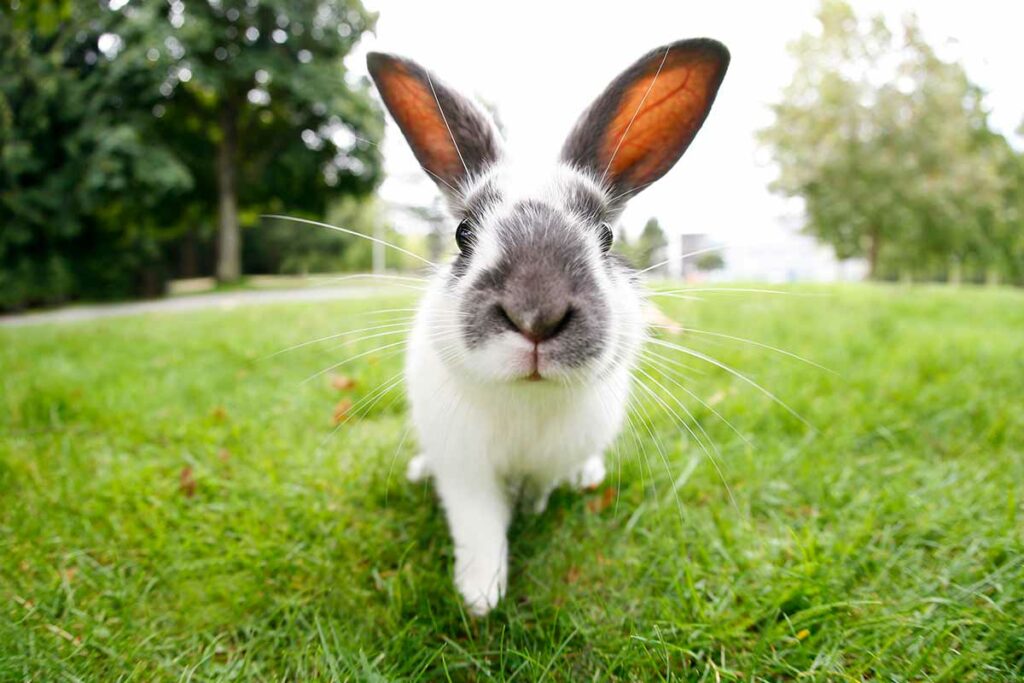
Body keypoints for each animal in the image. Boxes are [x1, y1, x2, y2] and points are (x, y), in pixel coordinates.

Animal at [366, 37, 729, 618]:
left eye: (606, 236)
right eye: (463, 234)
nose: (535, 314)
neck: (527, 399)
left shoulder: (548, 462)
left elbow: (537, 491)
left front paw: (530, 515)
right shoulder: (466, 473)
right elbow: (481, 529)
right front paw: (480, 596)